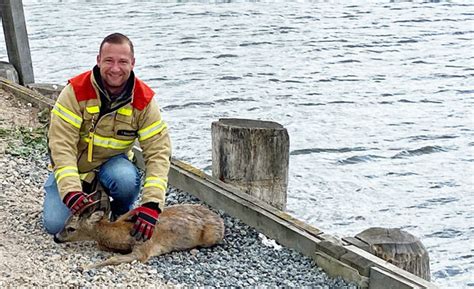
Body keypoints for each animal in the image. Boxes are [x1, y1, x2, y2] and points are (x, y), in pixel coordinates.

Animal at [54, 201, 225, 268]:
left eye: (71, 228)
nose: (56, 237)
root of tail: (220, 220)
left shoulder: (144, 248)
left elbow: (114, 258)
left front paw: (84, 267)